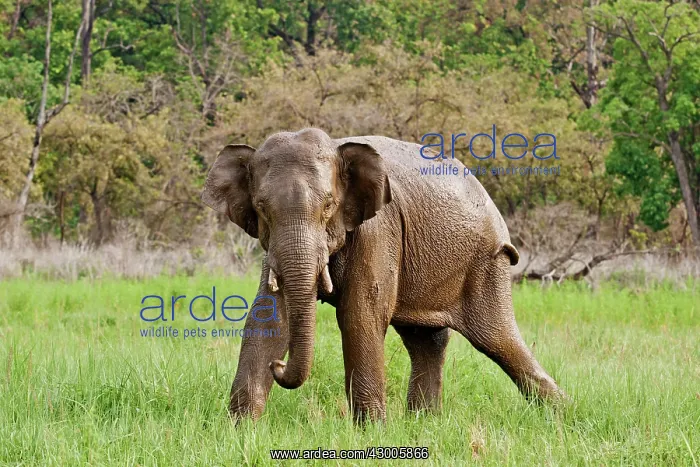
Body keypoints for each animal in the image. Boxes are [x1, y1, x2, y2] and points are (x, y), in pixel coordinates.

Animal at [201, 128, 565, 423]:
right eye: (262, 208)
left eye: (328, 205)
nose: (277, 366)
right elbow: (268, 317)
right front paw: (240, 430)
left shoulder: (379, 229)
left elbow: (360, 314)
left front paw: (370, 431)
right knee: (426, 340)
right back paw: (423, 422)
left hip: (487, 263)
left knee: (498, 339)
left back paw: (562, 415)